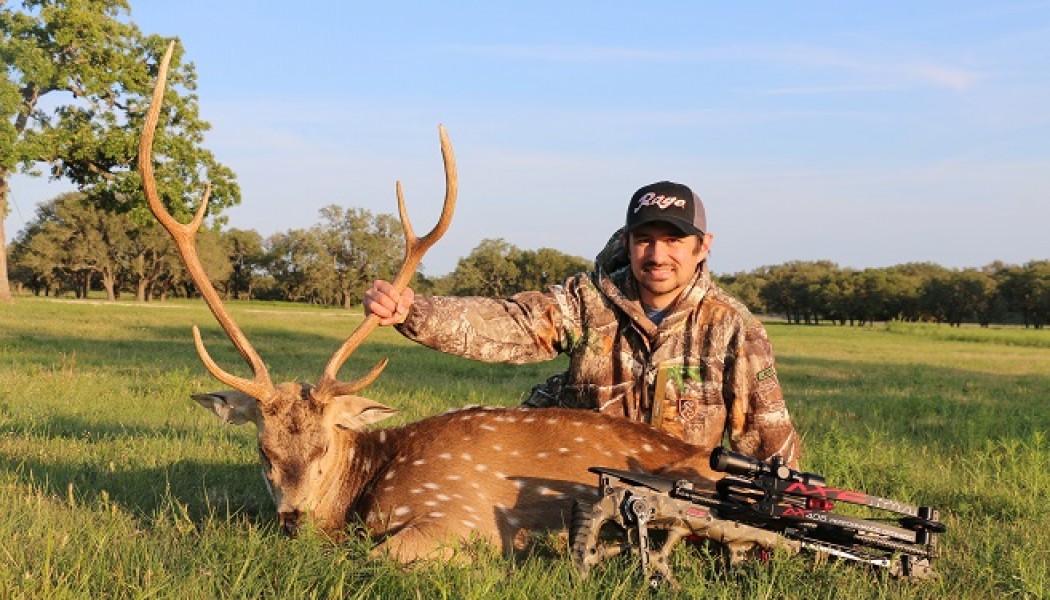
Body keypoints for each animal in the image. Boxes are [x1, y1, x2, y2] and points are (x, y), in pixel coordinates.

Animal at [141, 41, 715, 562]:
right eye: (264, 449)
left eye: (323, 445)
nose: (293, 520)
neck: (369, 485)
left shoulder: (460, 515)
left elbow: (375, 555)